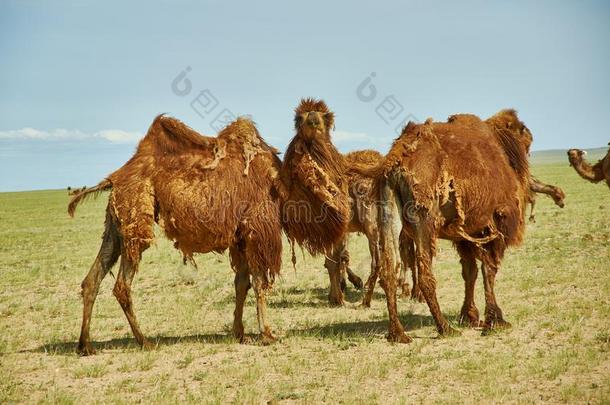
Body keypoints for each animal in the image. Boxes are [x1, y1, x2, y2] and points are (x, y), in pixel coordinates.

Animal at [69, 113, 282, 354]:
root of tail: (114, 178)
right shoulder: (258, 230)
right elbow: (258, 283)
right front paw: (267, 334)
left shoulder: (240, 237)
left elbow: (242, 283)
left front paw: (240, 333)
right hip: (135, 216)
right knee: (122, 285)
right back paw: (144, 341)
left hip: (115, 224)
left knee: (92, 279)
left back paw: (85, 345)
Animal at [368, 109, 528, 340]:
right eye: (524, 132)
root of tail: (396, 163)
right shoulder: (494, 226)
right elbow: (489, 270)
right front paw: (495, 320)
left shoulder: (465, 234)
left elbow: (470, 272)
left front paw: (470, 316)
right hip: (423, 218)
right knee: (425, 274)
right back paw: (445, 327)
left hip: (387, 211)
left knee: (389, 269)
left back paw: (398, 334)